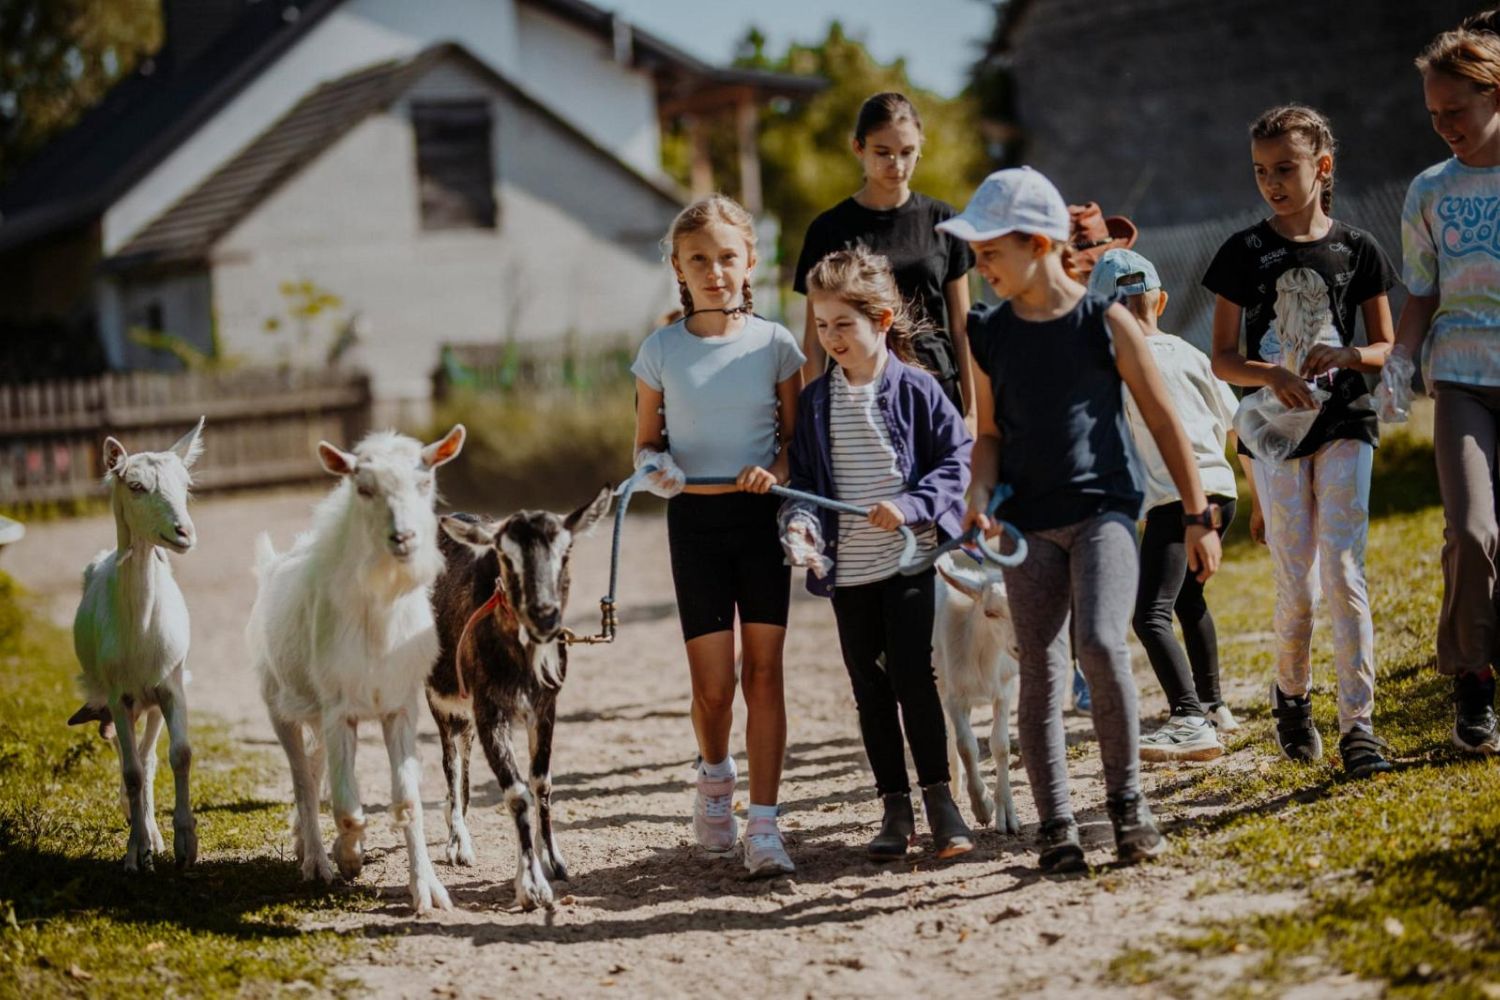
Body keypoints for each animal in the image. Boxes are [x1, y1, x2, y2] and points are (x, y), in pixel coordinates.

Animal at [69, 418, 205, 871]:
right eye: (136, 486)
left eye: (186, 484)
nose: (184, 532)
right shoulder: (118, 695)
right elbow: (130, 773)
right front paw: (137, 852)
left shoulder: (171, 685)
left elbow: (179, 755)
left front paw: (185, 845)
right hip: (117, 701)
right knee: (130, 761)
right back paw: (140, 835)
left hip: (153, 701)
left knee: (148, 759)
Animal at [249, 426, 464, 914]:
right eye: (364, 488)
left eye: (425, 482)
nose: (403, 537)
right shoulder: (339, 709)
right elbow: (346, 809)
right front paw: (348, 858)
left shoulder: (399, 707)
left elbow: (407, 802)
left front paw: (427, 890)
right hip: (281, 705)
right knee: (303, 782)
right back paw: (316, 862)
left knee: (314, 768)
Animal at [425, 486, 611, 911]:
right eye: (506, 557)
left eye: (566, 551)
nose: (544, 614)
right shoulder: (489, 709)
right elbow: (516, 793)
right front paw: (531, 885)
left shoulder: (545, 706)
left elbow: (540, 782)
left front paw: (553, 859)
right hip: (440, 698)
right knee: (450, 761)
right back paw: (458, 842)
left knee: (463, 754)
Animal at [933, 551, 1021, 835]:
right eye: (990, 612)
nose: (1019, 647)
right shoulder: (955, 697)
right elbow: (967, 747)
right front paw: (982, 807)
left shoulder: (1004, 691)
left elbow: (1000, 745)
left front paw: (1006, 814)